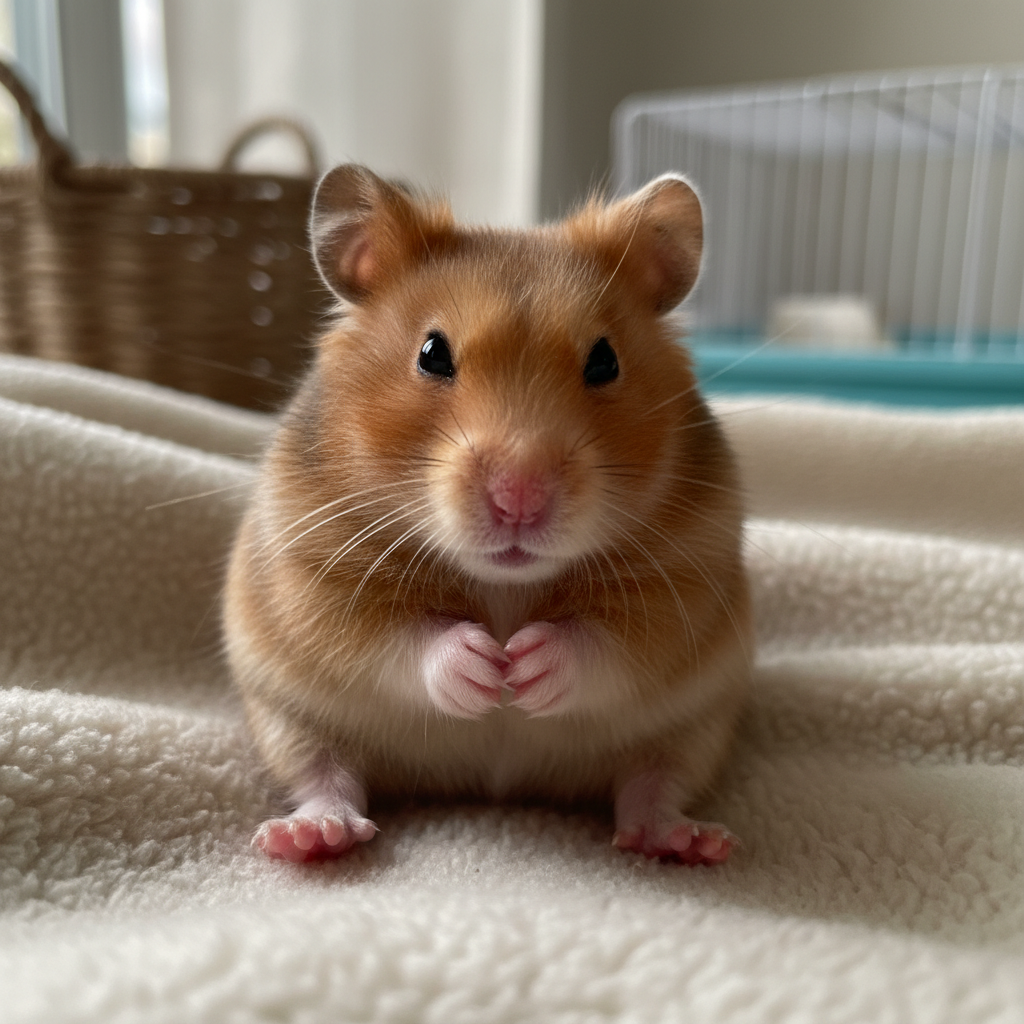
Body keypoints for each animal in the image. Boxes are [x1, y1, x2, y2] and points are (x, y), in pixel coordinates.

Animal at [223, 164, 752, 865]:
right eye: (431, 354)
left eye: (605, 360)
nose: (518, 497)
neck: (505, 583)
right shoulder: (314, 570)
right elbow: (396, 636)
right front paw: (485, 669)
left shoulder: (688, 577)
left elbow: (608, 641)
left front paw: (523, 670)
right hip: (286, 719)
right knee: (325, 775)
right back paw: (308, 837)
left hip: (698, 729)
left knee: (652, 786)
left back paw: (689, 841)